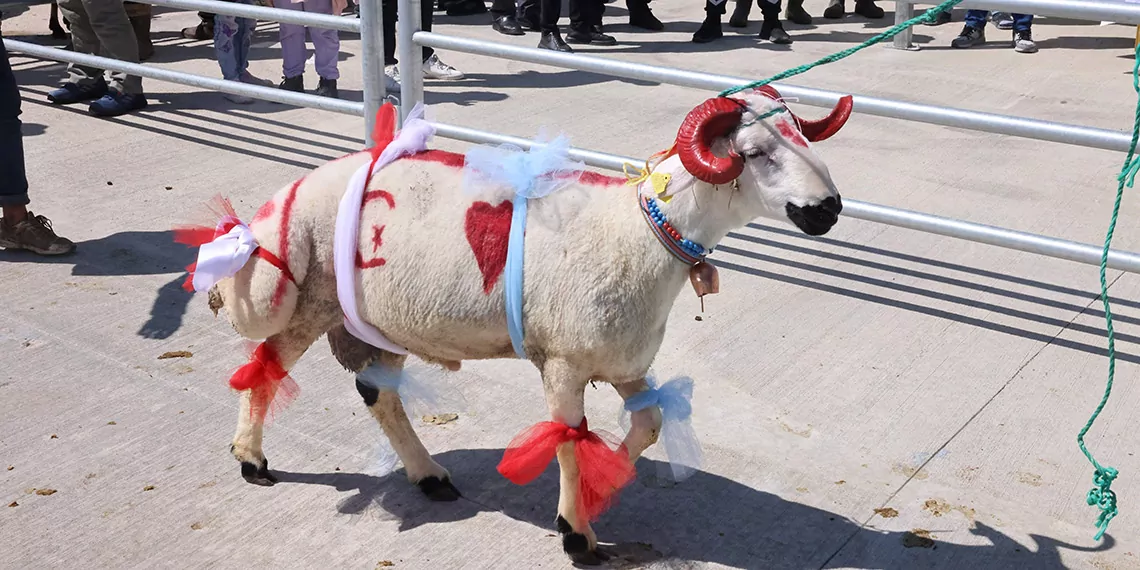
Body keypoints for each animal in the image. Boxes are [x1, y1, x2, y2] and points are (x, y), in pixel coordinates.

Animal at [177, 86, 852, 563]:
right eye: (756, 153)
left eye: (802, 134)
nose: (829, 208)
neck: (638, 232)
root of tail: (302, 182)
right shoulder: (565, 361)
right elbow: (568, 443)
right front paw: (576, 533)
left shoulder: (622, 360)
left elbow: (648, 426)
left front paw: (606, 483)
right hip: (308, 299)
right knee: (265, 367)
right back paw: (251, 458)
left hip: (378, 320)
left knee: (378, 396)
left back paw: (428, 475)